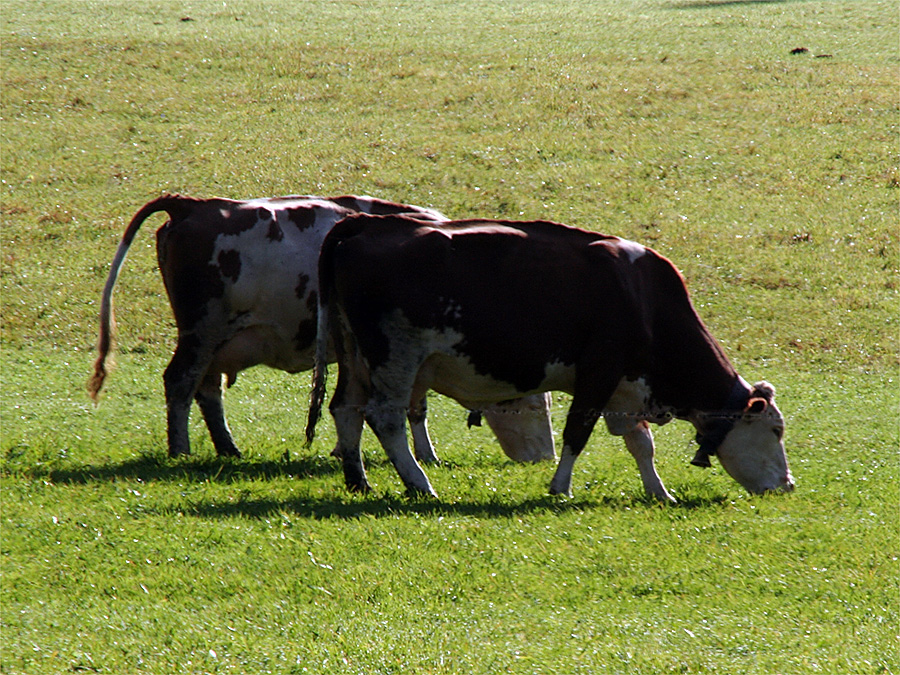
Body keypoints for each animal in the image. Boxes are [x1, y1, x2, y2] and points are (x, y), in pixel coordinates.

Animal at [89, 193, 556, 462]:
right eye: (531, 402)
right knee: (181, 384)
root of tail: (190, 204)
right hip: (201, 333)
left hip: (219, 342)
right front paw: (425, 457)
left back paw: (228, 449)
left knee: (207, 390)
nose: (545, 457)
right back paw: (181, 451)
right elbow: (409, 407)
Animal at [310, 215, 796, 502]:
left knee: (346, 409)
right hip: (395, 356)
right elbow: (577, 433)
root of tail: (365, 223)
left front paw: (659, 493)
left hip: (353, 356)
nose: (788, 484)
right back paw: (419, 484)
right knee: (385, 417)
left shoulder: (625, 389)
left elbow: (641, 444)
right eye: (775, 430)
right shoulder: (599, 374)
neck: (643, 297)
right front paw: (560, 487)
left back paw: (358, 480)